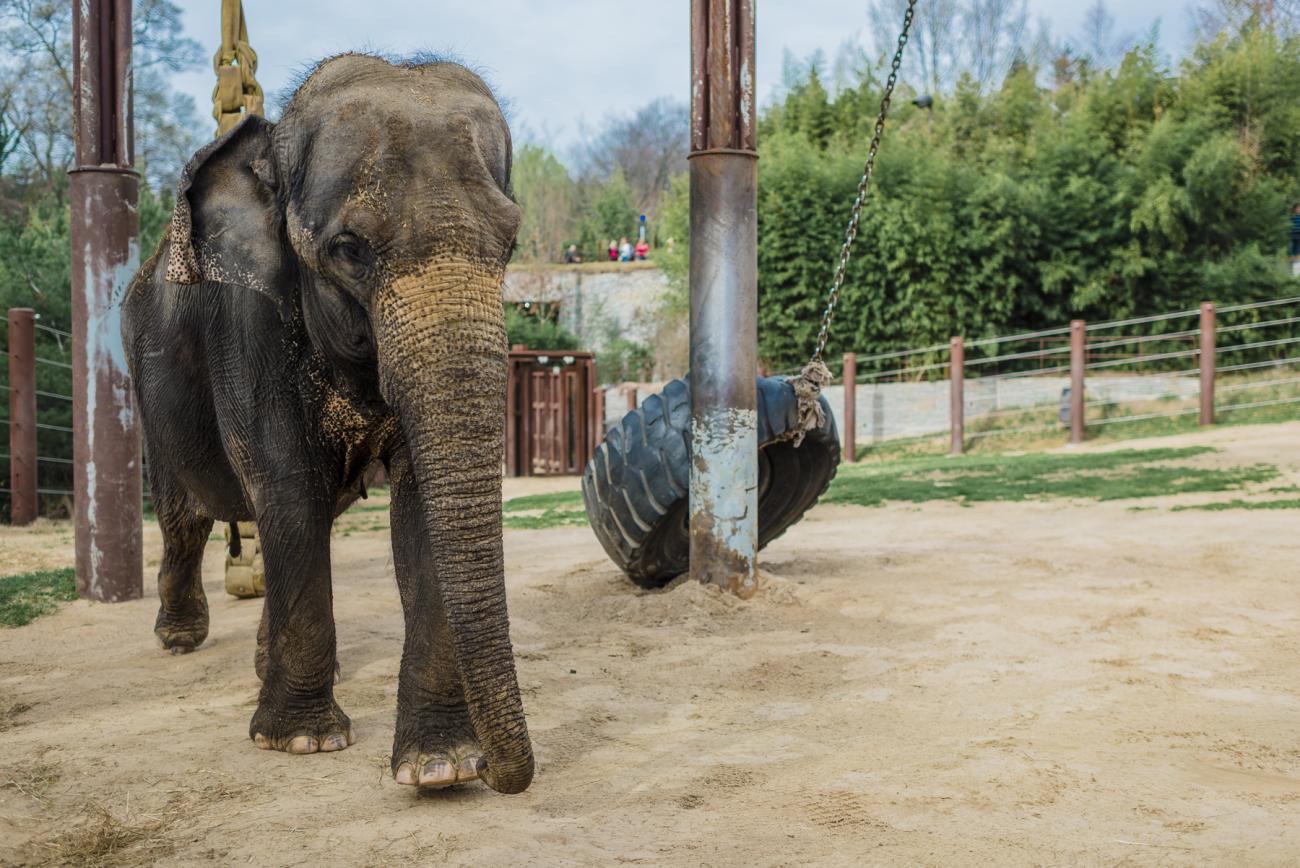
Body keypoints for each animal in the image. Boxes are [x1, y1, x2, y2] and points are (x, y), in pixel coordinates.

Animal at [118, 52, 533, 795]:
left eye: (511, 241)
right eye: (349, 249)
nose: (504, 777)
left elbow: (418, 504)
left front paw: (441, 767)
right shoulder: (249, 322)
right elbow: (285, 487)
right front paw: (302, 741)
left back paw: (260, 663)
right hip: (147, 384)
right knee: (185, 516)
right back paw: (180, 638)